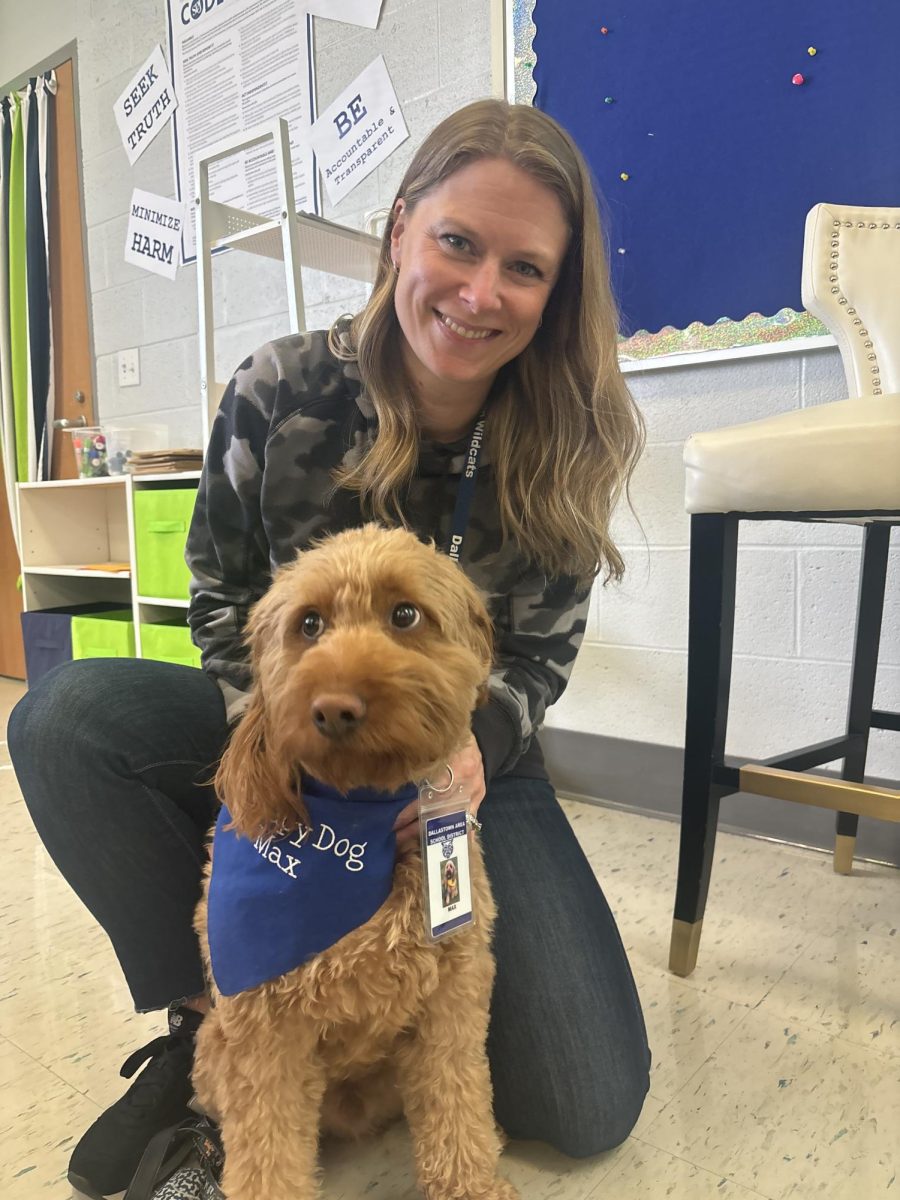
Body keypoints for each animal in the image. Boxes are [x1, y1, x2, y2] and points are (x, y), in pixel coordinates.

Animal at [194, 525, 518, 1200]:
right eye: (309, 624)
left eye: (405, 615)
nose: (335, 707)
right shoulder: (264, 1033)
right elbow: (267, 1154)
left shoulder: (454, 996)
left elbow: (459, 1102)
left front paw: (471, 1183)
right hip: (215, 1049)